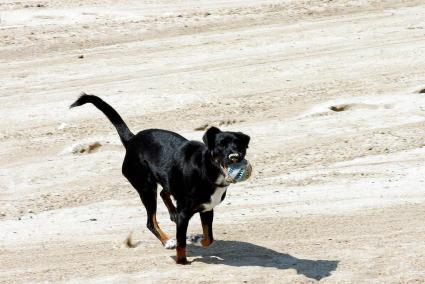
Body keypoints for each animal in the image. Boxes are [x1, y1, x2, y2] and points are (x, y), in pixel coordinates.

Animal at [69, 94, 248, 266]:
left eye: (239, 146)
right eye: (220, 145)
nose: (234, 156)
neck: (207, 170)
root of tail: (132, 139)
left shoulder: (206, 209)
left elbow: (208, 238)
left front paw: (196, 239)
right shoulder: (186, 213)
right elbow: (182, 243)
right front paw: (181, 261)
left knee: (163, 194)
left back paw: (172, 215)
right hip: (146, 188)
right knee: (150, 221)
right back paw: (168, 241)